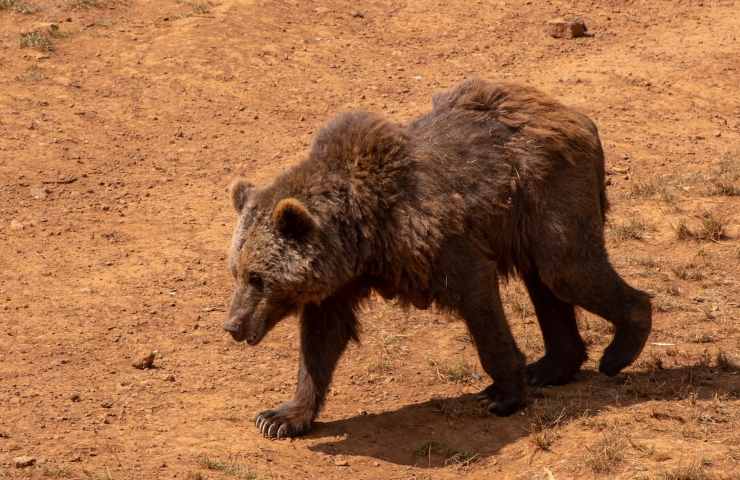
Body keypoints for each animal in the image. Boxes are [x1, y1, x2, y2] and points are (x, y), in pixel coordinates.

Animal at [223, 78, 652, 439]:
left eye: (258, 277)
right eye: (237, 272)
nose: (233, 325)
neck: (364, 233)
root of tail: (579, 117)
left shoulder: (441, 246)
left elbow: (481, 308)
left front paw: (502, 394)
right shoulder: (341, 281)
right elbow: (322, 339)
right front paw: (281, 417)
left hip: (550, 193)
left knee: (567, 271)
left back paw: (618, 350)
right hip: (530, 218)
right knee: (546, 283)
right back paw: (549, 367)